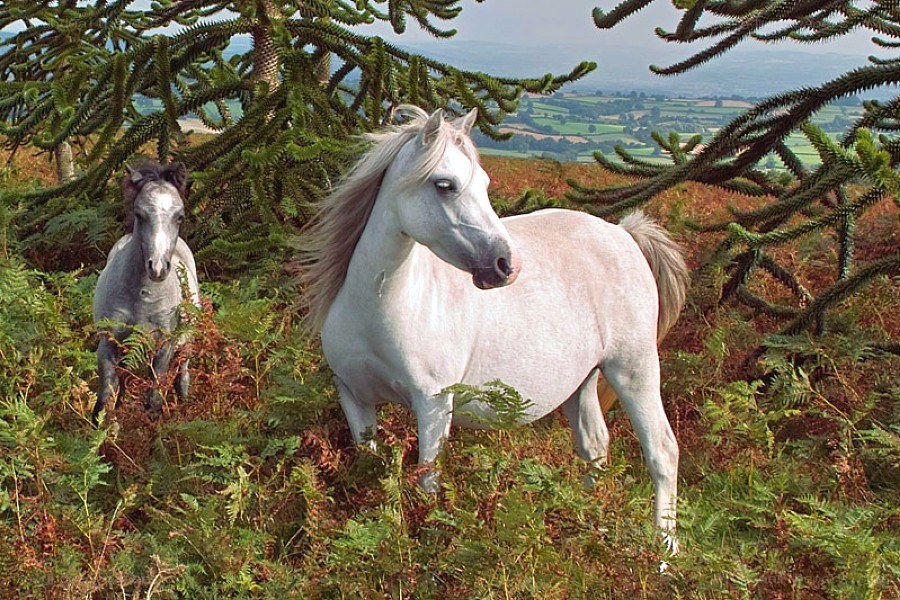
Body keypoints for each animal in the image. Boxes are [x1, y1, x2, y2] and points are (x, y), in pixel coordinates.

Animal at [92, 161, 200, 423]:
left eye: (180, 216)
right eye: (139, 214)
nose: (158, 267)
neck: (141, 297)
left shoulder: (163, 347)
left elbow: (155, 400)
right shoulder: (108, 344)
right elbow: (105, 403)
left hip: (186, 343)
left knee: (182, 374)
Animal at [300, 106, 689, 547]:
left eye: (484, 184)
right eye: (445, 185)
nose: (506, 265)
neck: (380, 308)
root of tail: (624, 234)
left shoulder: (433, 403)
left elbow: (428, 479)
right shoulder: (355, 396)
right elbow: (373, 467)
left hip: (634, 369)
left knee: (662, 451)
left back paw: (664, 547)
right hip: (583, 382)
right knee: (595, 447)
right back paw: (587, 523)